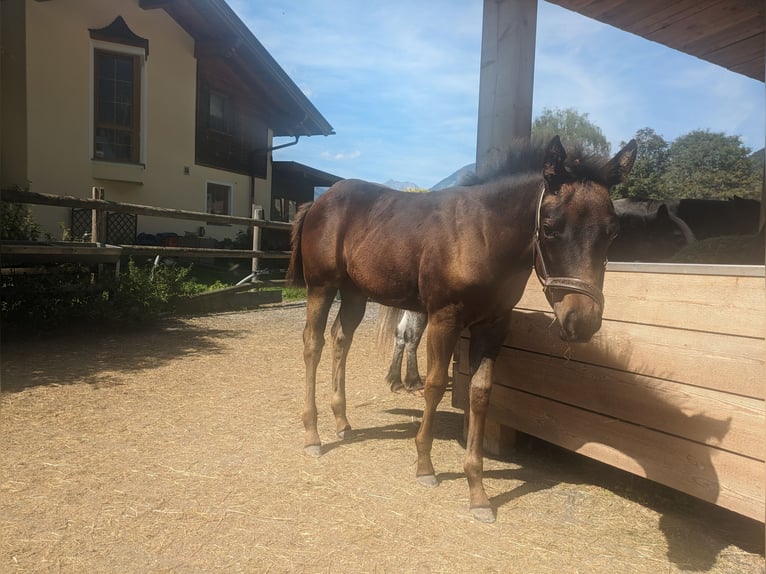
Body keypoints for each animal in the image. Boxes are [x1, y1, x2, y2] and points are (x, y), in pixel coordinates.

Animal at [286, 137, 636, 524]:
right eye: (549, 227)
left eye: (613, 231)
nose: (581, 320)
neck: (482, 235)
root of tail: (319, 200)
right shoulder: (444, 318)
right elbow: (436, 385)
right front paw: (425, 465)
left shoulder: (494, 326)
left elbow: (480, 393)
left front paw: (478, 492)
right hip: (321, 286)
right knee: (313, 343)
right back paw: (313, 434)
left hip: (354, 292)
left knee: (340, 340)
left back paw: (342, 422)